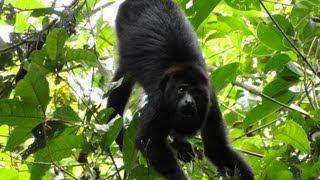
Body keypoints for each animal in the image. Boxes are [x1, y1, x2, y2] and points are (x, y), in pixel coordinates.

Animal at [106, 0, 254, 179]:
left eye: (196, 93)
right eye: (181, 89)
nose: (189, 101)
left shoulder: (210, 103)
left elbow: (217, 147)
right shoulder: (160, 101)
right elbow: (148, 140)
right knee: (122, 80)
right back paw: (115, 129)